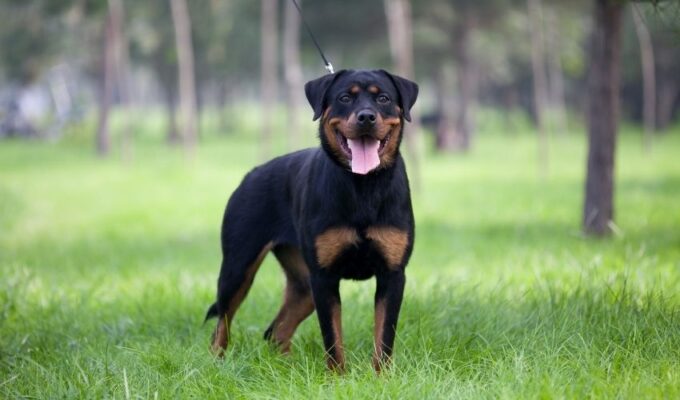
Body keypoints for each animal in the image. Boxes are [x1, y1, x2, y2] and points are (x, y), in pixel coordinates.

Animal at [206, 69, 420, 372]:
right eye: (344, 98)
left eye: (383, 99)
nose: (366, 117)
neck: (362, 186)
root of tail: (251, 175)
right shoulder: (324, 277)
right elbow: (332, 337)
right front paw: (337, 377)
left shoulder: (392, 274)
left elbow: (384, 336)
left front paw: (381, 376)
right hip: (239, 267)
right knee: (222, 323)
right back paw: (218, 365)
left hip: (303, 284)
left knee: (276, 331)